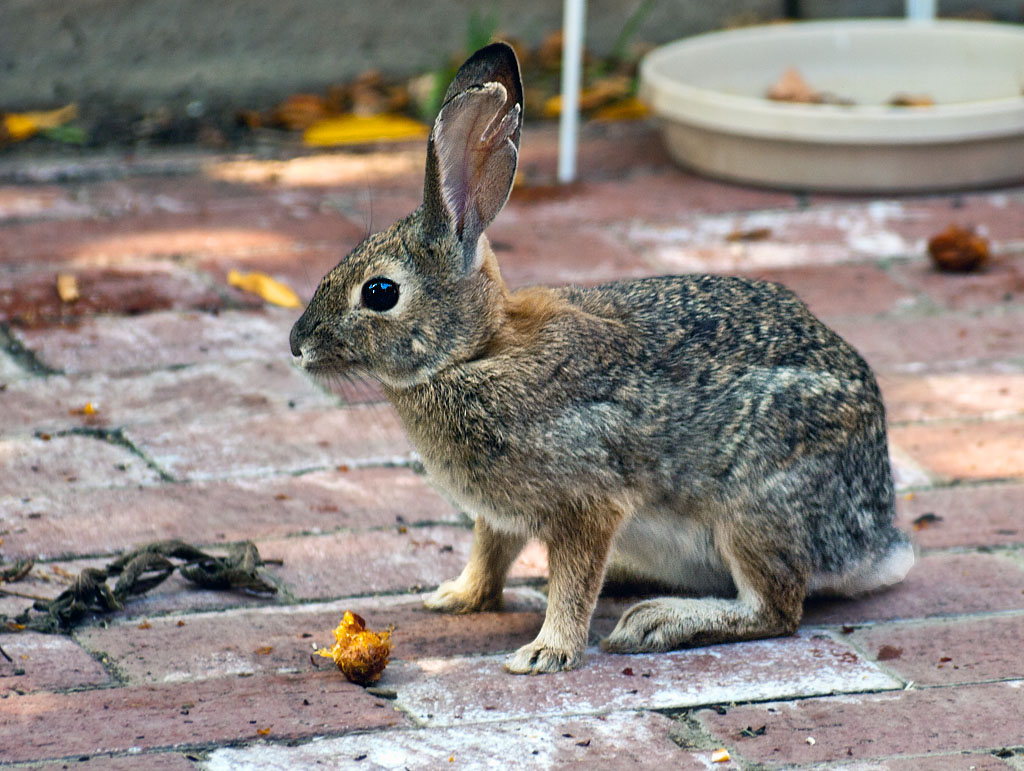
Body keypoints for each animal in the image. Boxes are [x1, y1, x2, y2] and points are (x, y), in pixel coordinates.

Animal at [286, 40, 913, 671]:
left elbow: (573, 579)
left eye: (379, 293)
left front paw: (545, 653)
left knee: (777, 607)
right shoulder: (498, 513)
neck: (474, 354)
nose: (296, 344)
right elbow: (489, 553)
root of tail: (877, 541)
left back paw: (657, 622)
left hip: (754, 507)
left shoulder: (587, 503)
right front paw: (455, 597)